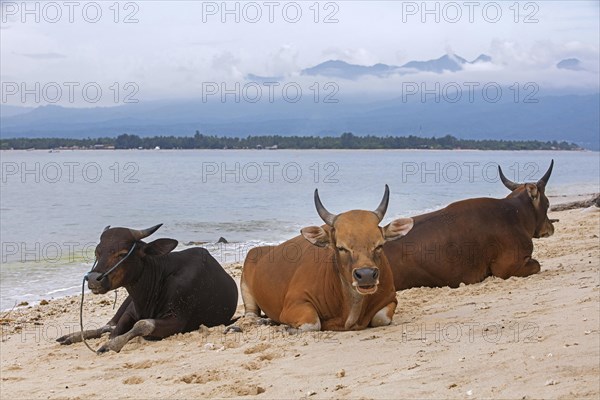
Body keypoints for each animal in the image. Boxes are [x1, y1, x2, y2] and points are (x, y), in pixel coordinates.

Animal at [57, 225, 238, 354]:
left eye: (122, 253)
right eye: (97, 252)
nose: (94, 280)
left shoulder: (177, 320)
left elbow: (142, 324)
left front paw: (110, 346)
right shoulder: (130, 310)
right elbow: (115, 331)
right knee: (107, 325)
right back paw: (70, 337)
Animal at [239, 186, 412, 332]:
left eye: (379, 245)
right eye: (341, 247)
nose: (366, 275)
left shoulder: (391, 299)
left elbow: (381, 318)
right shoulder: (295, 303)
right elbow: (313, 323)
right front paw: (286, 327)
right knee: (251, 314)